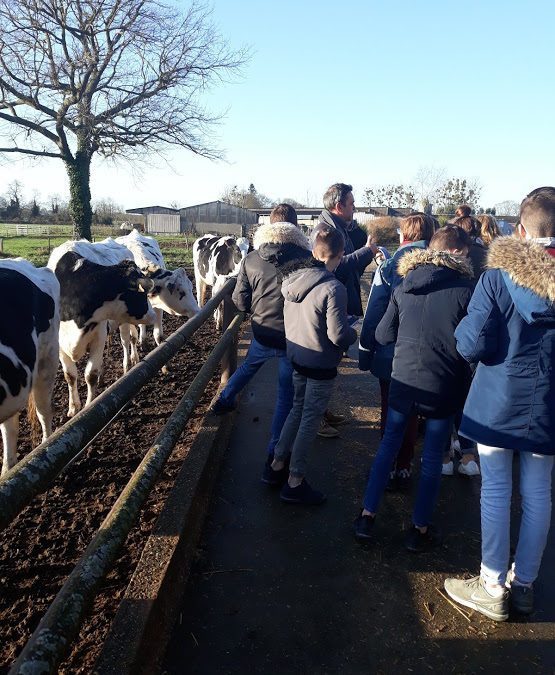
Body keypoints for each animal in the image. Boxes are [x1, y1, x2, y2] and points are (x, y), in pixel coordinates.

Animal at [48, 238, 156, 418]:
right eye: (141, 294)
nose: (153, 314)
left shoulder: (98, 337)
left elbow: (90, 374)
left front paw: (89, 406)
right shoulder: (60, 344)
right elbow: (70, 376)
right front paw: (73, 407)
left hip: (123, 323)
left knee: (128, 341)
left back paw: (129, 363)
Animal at [115, 231, 200, 370]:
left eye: (191, 288)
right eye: (181, 292)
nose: (198, 311)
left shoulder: (158, 307)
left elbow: (158, 336)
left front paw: (165, 365)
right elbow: (126, 340)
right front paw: (127, 365)